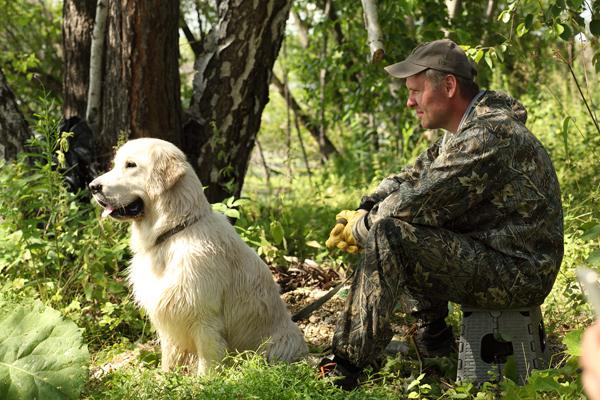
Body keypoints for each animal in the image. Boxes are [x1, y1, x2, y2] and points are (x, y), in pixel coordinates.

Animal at [90, 138, 304, 376]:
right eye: (116, 164)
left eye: (131, 165)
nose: (92, 187)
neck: (174, 231)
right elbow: (169, 357)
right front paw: (164, 379)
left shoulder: (204, 317)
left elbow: (208, 360)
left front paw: (203, 382)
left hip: (278, 344)